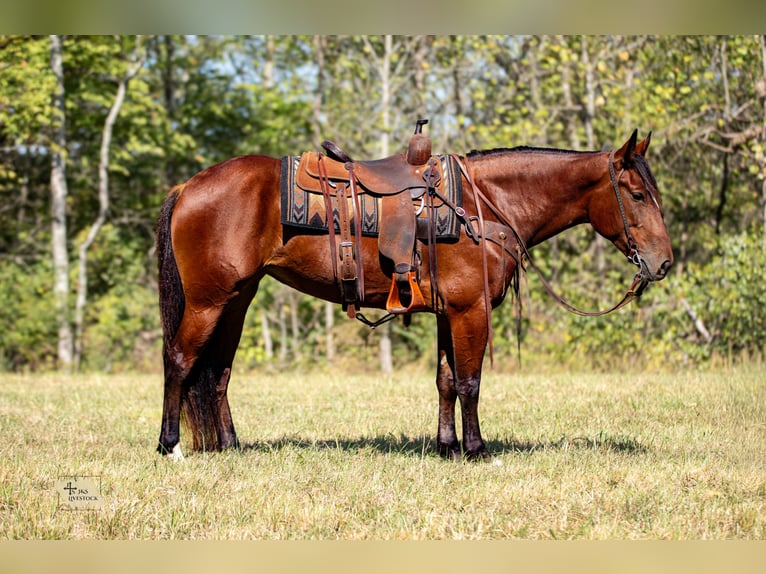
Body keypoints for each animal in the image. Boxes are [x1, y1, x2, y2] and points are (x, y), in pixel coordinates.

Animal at [156, 129, 673, 461]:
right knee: (179, 360)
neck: (483, 203)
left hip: (236, 302)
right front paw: (477, 450)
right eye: (637, 194)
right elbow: (470, 382)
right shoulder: (470, 310)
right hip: (208, 302)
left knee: (219, 371)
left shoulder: (449, 312)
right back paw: (170, 445)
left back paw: (230, 445)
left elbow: (445, 380)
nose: (664, 263)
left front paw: (446, 447)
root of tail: (188, 186)